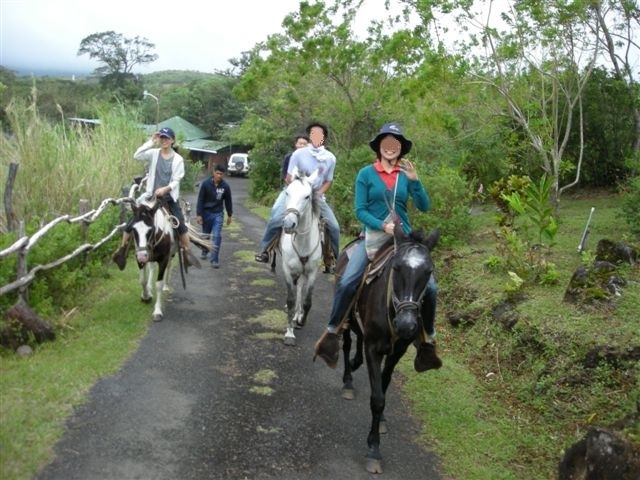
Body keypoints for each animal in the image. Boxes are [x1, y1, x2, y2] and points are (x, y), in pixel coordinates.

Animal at [338, 227, 438, 474]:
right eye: (396, 268)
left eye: (429, 271)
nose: (406, 324)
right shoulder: (373, 348)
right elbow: (377, 398)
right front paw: (374, 449)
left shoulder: (396, 351)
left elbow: (384, 385)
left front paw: (381, 421)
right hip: (346, 315)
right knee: (346, 344)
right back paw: (348, 381)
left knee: (358, 341)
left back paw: (355, 362)